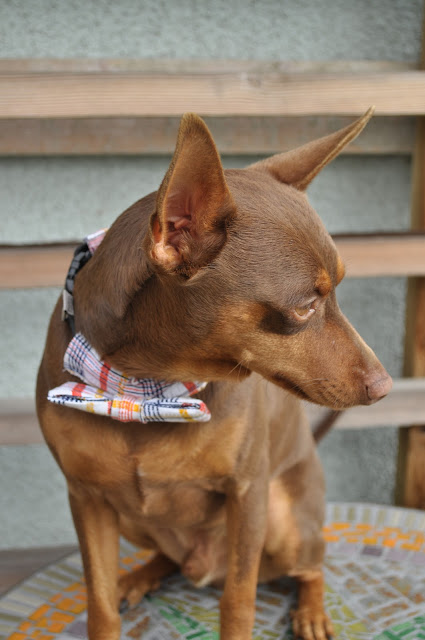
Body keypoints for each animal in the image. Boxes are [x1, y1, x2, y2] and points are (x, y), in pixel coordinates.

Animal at [36, 109, 392, 640]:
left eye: (338, 292)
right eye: (306, 307)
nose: (385, 386)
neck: (146, 390)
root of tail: (202, 565)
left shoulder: (247, 492)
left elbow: (238, 600)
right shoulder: (87, 498)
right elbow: (97, 602)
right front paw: (109, 600)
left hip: (284, 521)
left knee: (311, 566)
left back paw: (311, 612)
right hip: (131, 518)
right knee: (167, 557)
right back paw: (138, 576)